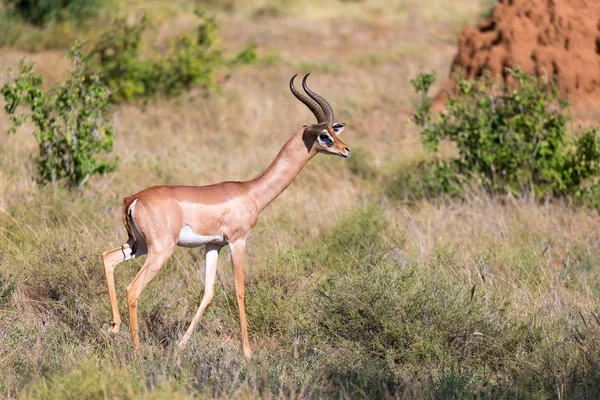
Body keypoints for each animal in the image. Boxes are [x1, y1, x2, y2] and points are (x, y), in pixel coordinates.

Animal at [101, 73, 350, 358]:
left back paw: (114, 327)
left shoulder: (213, 245)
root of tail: (133, 199)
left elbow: (208, 292)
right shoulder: (237, 242)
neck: (250, 191)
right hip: (160, 250)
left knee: (108, 257)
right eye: (324, 135)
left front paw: (181, 346)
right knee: (133, 288)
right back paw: (137, 348)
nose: (346, 150)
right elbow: (240, 290)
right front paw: (248, 352)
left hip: (138, 245)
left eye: (334, 131)